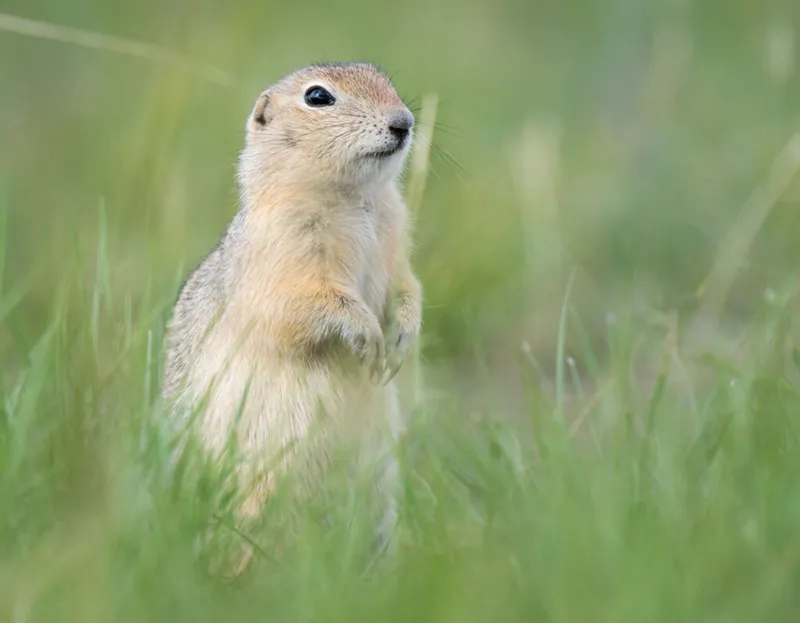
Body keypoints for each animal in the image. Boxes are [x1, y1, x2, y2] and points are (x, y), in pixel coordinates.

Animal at [161, 62, 422, 552]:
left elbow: (407, 285)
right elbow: (301, 303)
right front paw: (367, 335)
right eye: (317, 97)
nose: (404, 122)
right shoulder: (282, 251)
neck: (354, 197)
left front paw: (402, 337)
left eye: (385, 79)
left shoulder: (396, 240)